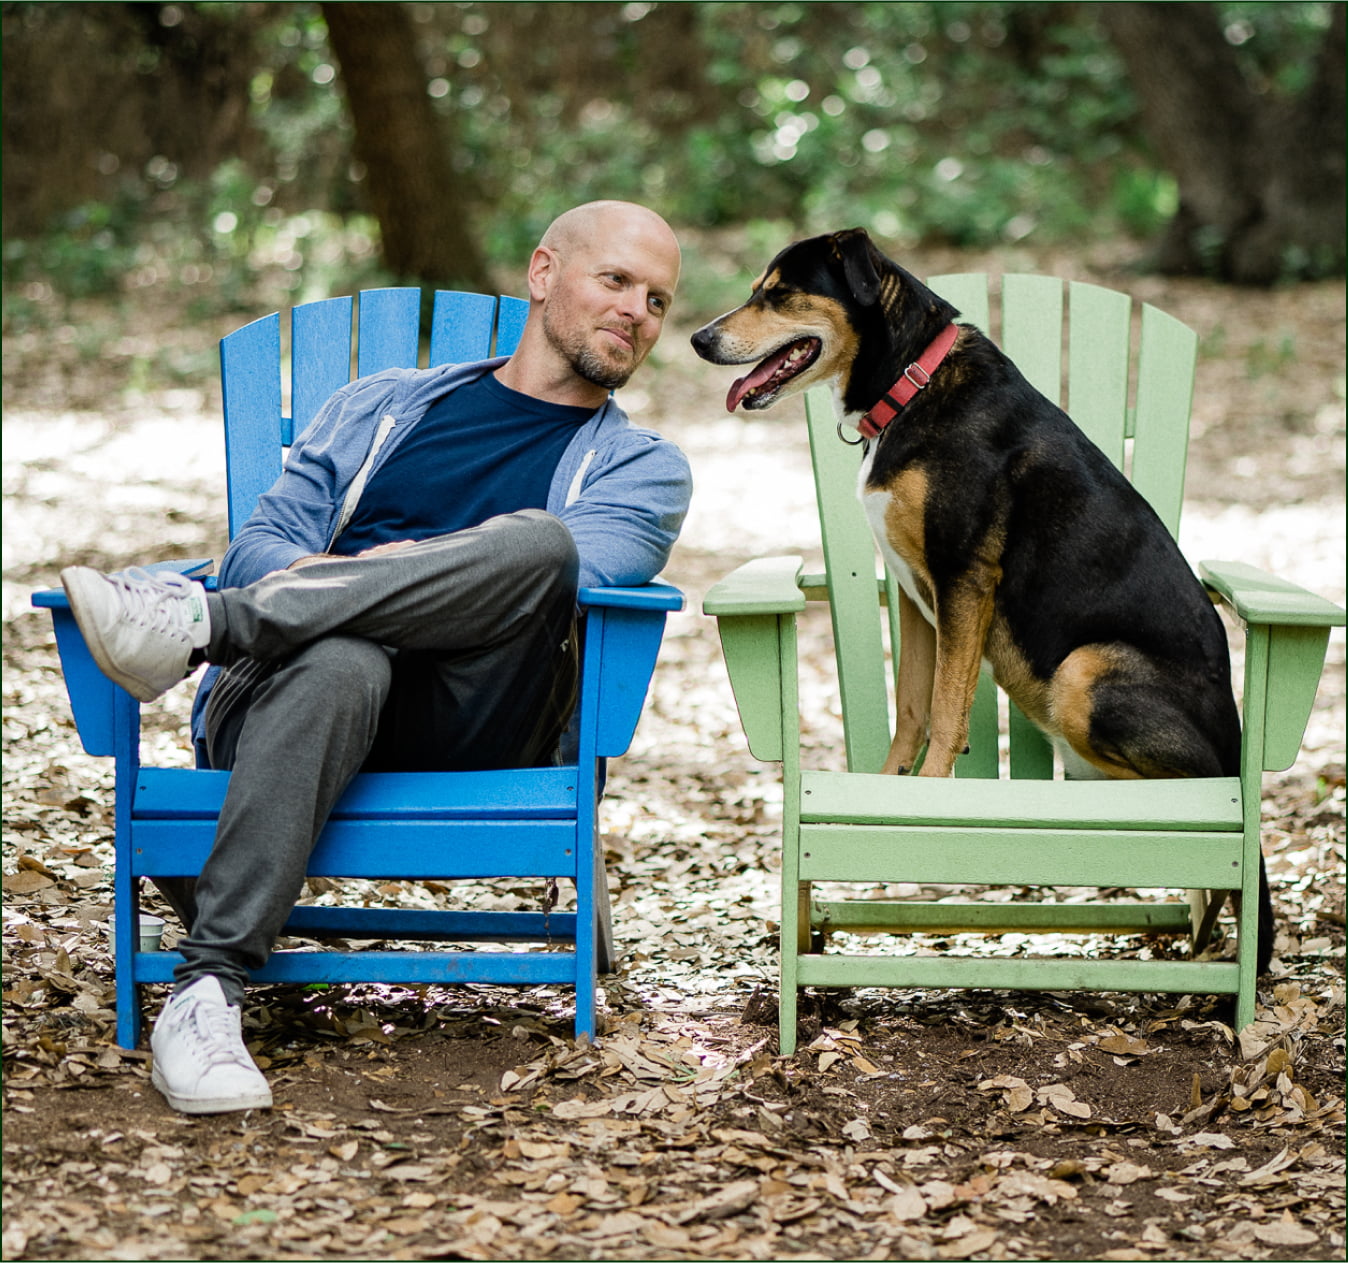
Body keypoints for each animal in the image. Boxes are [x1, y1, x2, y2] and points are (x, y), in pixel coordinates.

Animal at [690, 226, 1267, 970]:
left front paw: (931, 797)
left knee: (1179, 796)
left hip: (1084, 673)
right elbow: (911, 709)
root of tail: (1236, 738)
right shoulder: (914, 593)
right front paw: (885, 788)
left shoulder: (964, 576)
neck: (909, 384)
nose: (699, 339)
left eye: (781, 294)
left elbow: (945, 711)